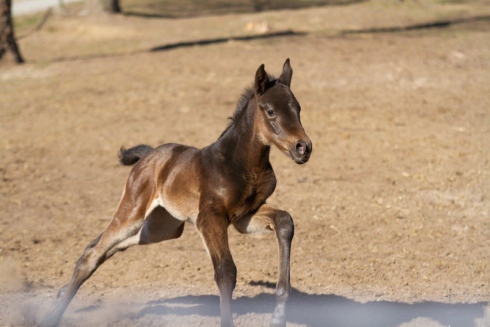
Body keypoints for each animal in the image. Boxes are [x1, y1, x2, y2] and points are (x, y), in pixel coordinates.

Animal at [45, 59, 314, 327]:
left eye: (298, 109)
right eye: (270, 111)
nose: (303, 147)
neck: (241, 163)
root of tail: (149, 156)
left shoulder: (245, 216)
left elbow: (285, 221)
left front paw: (278, 317)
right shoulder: (209, 218)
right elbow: (225, 271)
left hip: (161, 228)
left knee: (104, 245)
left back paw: (62, 294)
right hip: (134, 211)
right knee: (93, 253)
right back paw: (53, 314)